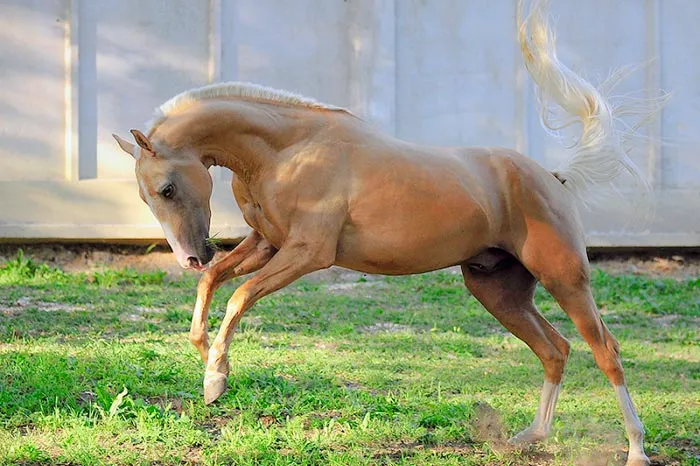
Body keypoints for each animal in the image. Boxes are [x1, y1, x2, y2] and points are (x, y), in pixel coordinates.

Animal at [112, 1, 660, 464]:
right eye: (146, 195)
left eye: (166, 188)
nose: (189, 256)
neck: (289, 149)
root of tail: (554, 177)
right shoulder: (267, 243)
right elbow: (215, 284)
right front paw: (208, 359)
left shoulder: (307, 252)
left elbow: (239, 295)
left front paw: (215, 380)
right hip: (498, 291)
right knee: (555, 350)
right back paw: (529, 436)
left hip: (564, 278)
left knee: (606, 351)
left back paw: (636, 449)